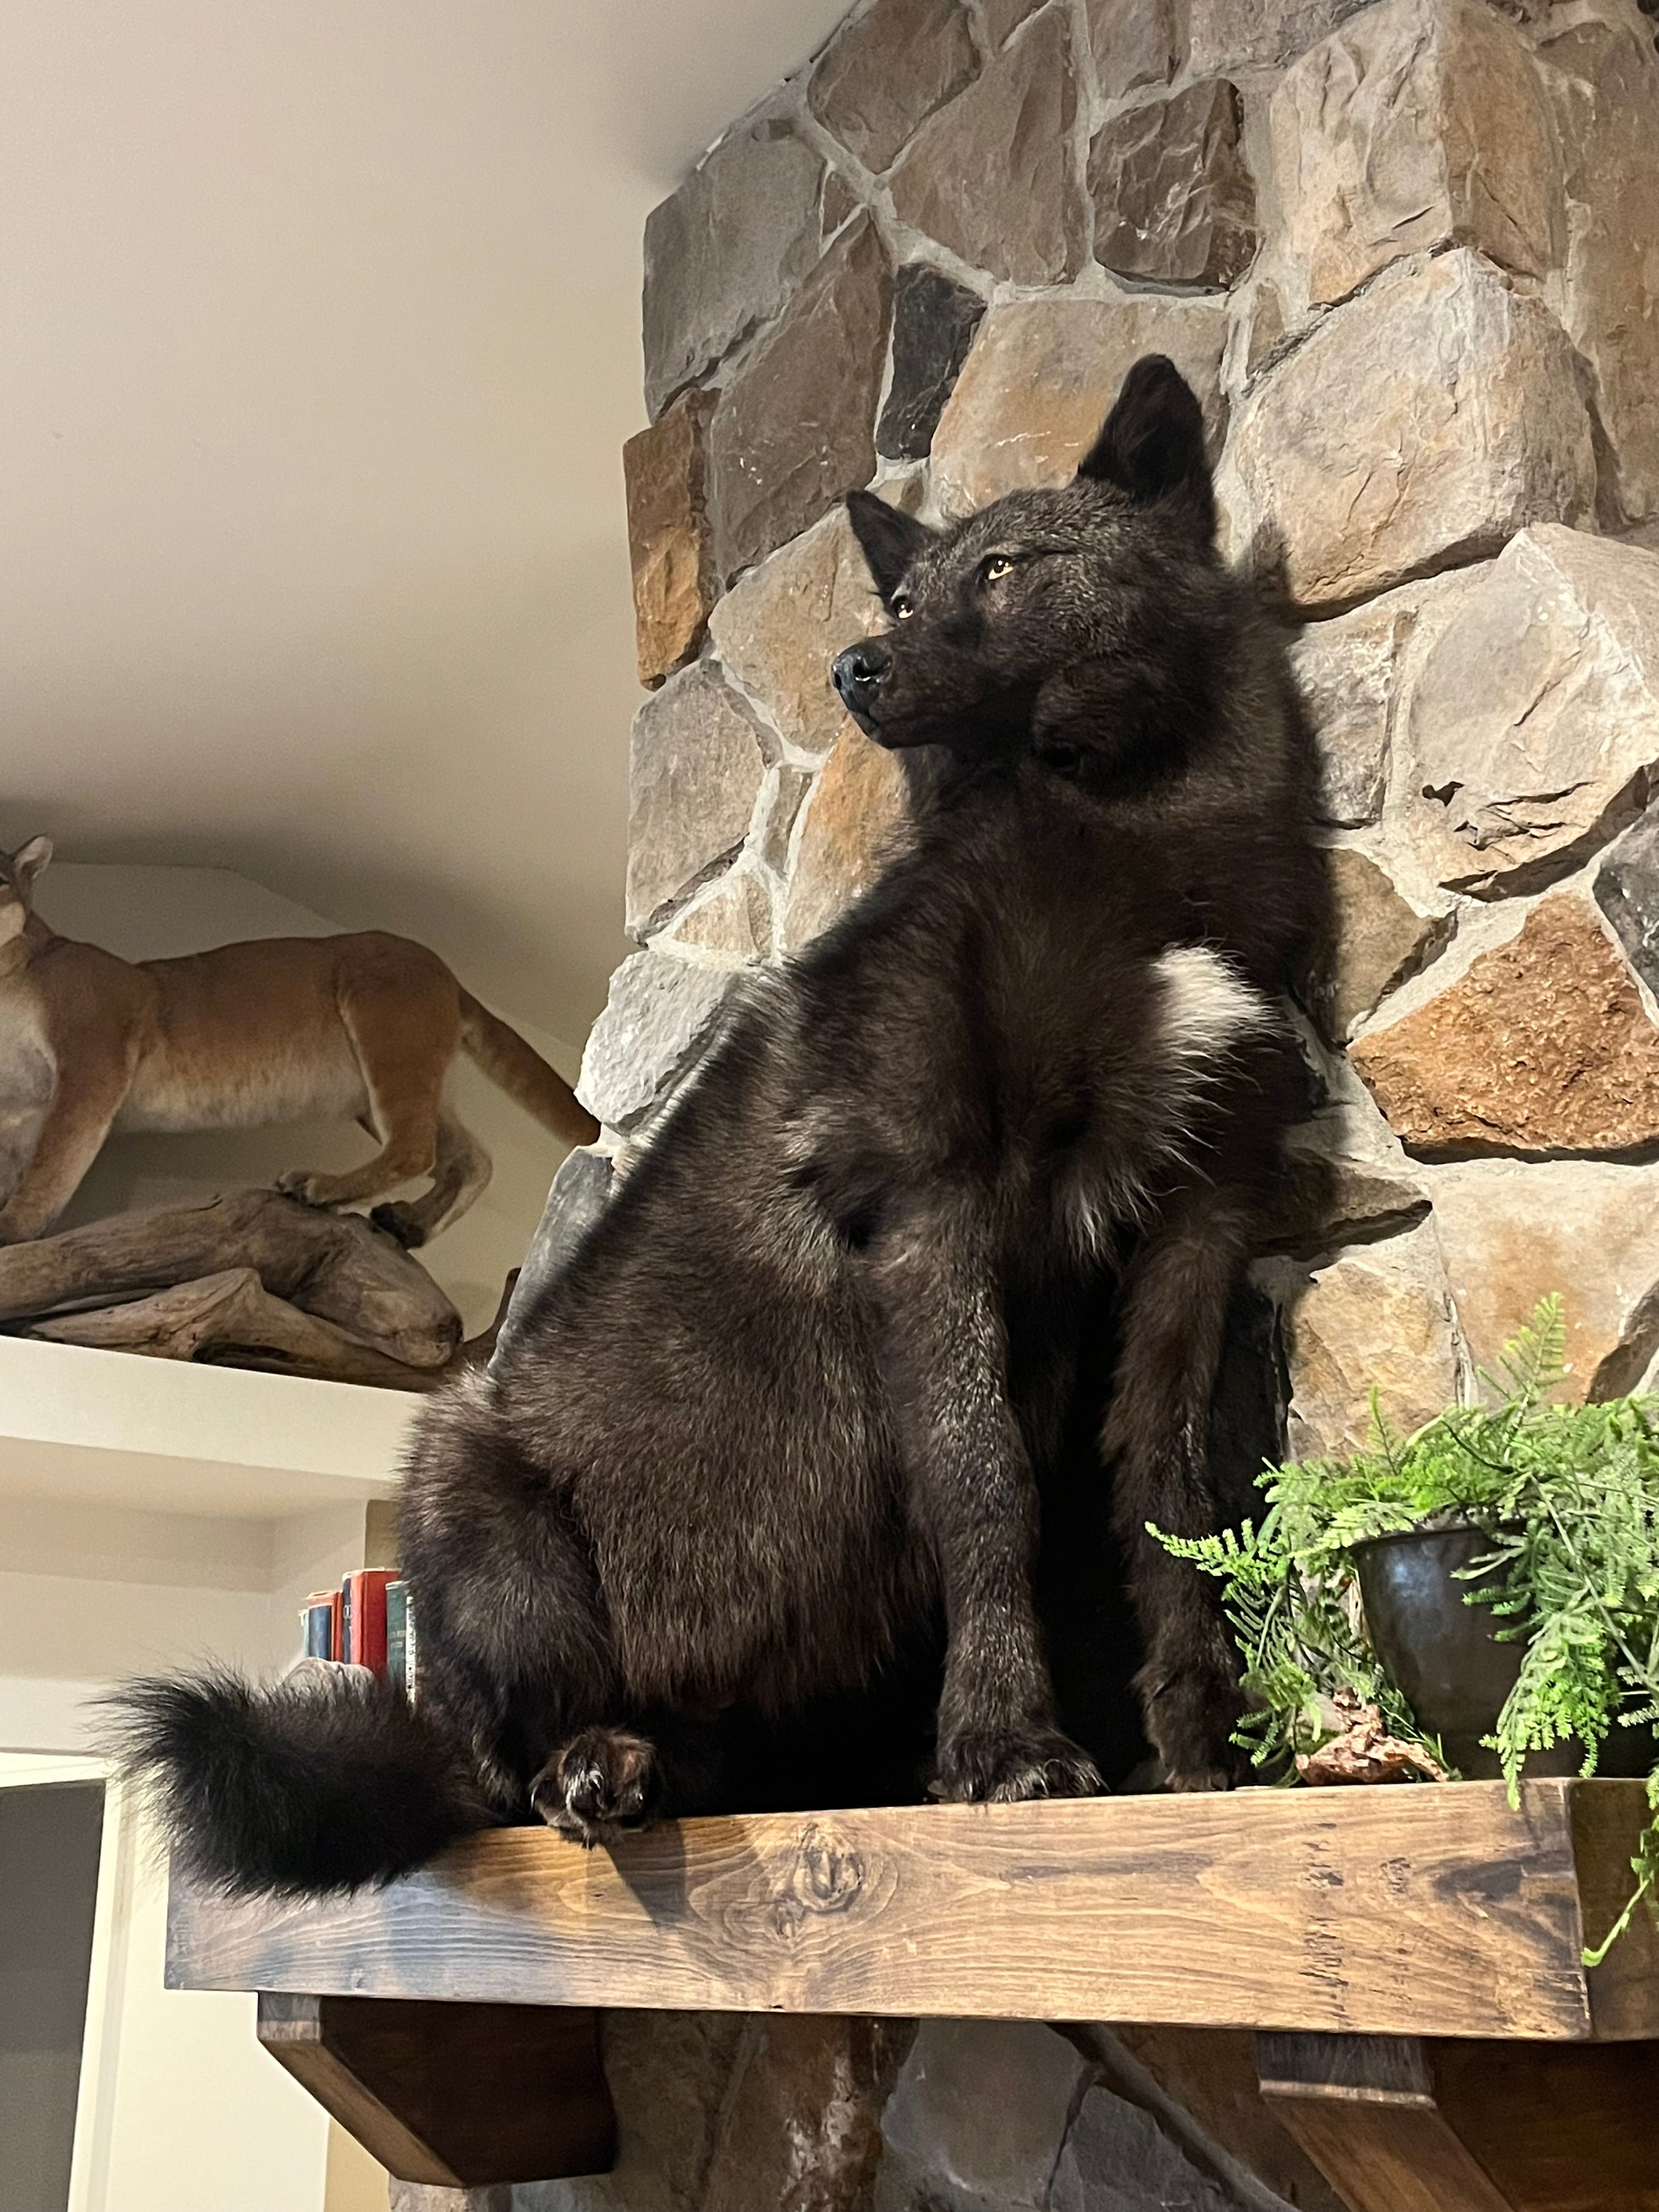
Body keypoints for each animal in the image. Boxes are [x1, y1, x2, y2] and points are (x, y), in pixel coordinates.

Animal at [109, 357, 1323, 1892]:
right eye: (902, 601)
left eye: (1002, 570)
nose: (856, 669)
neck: (1129, 854)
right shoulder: (935, 1218)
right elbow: (987, 1486)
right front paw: (1006, 1752)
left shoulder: (1192, 1239)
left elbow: (1168, 1500)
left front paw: (1195, 1747)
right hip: (473, 1502)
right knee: (503, 1779)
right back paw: (591, 1768)